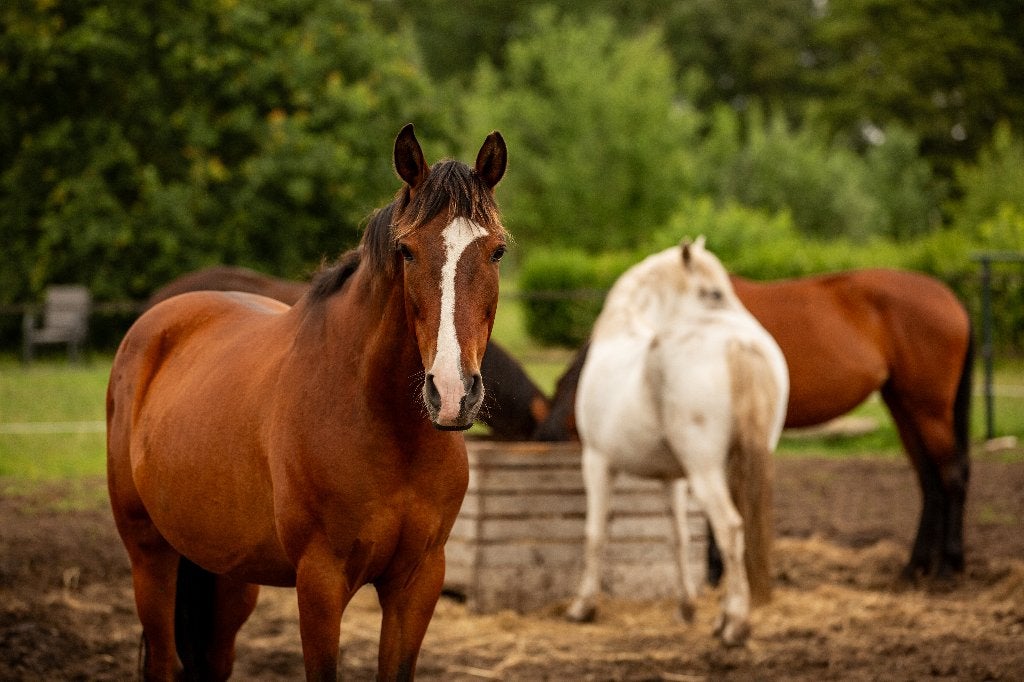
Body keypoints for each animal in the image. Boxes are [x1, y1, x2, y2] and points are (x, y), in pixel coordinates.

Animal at [107, 124, 508, 680]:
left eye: (497, 251)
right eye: (407, 251)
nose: (452, 393)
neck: (387, 428)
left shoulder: (419, 579)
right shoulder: (320, 582)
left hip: (226, 575)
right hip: (151, 556)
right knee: (163, 661)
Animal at [536, 268, 973, 580]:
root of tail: (952, 300)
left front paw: (717, 570)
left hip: (928, 408)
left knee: (951, 476)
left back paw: (948, 568)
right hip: (904, 405)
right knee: (929, 481)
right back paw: (915, 567)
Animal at [565, 238, 789, 647]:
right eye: (714, 293)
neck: (621, 330)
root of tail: (738, 342)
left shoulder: (597, 462)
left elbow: (595, 533)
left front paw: (583, 607)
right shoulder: (673, 479)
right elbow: (679, 537)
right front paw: (686, 607)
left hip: (706, 471)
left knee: (730, 528)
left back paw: (735, 625)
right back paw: (723, 619)